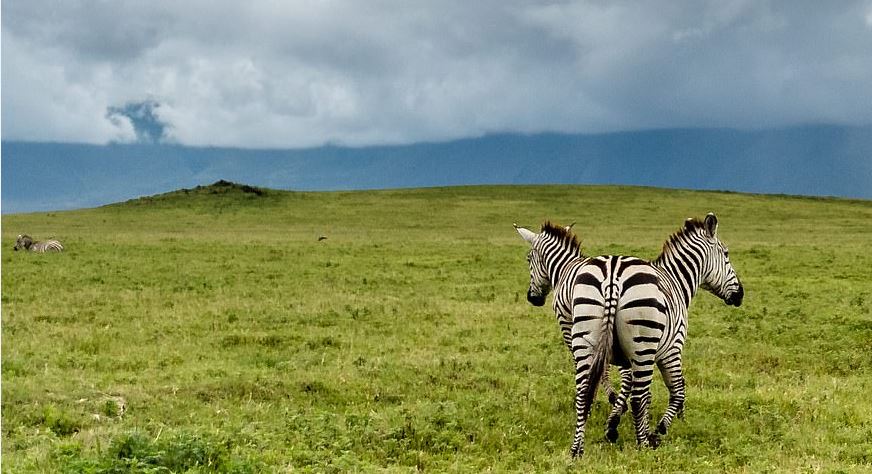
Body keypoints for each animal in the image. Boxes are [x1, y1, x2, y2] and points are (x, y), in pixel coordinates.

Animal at [516, 214, 744, 456]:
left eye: (529, 259)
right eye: (726, 254)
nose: (740, 294)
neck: (675, 281)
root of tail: (612, 275)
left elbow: (643, 389)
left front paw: (617, 423)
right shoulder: (671, 349)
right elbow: (676, 391)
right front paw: (656, 431)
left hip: (591, 338)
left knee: (584, 392)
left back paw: (578, 449)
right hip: (641, 342)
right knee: (636, 397)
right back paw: (642, 444)